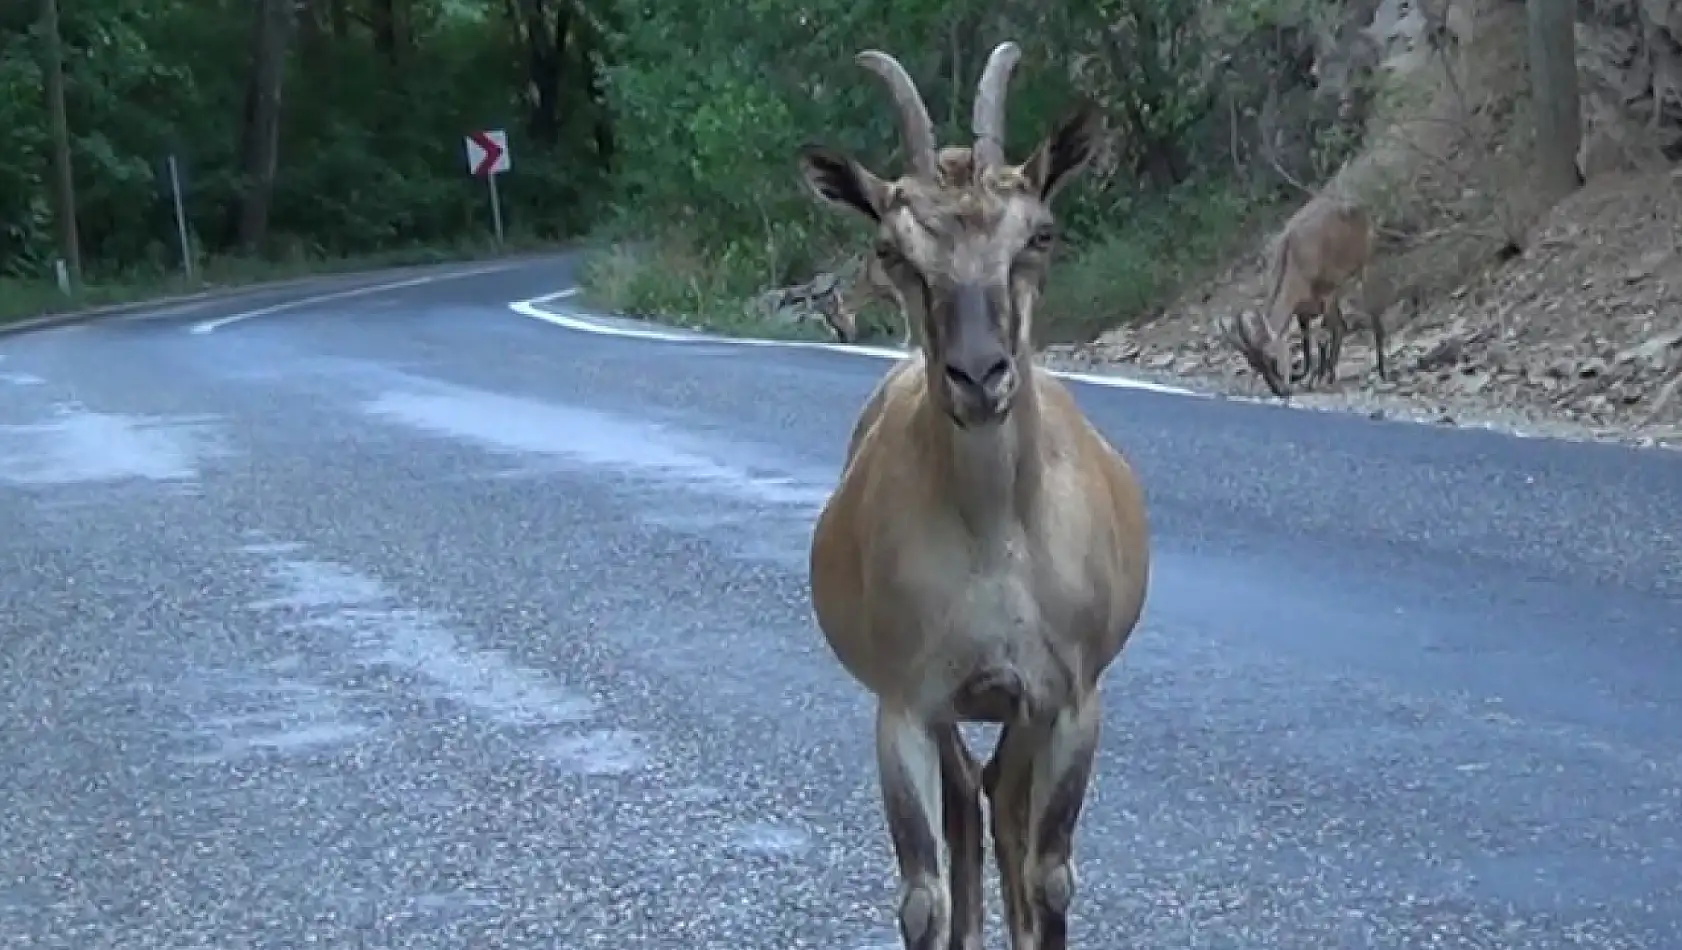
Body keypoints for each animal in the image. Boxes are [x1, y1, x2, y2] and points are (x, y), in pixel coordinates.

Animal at [797, 40, 1143, 948]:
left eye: (1040, 235)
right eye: (893, 249)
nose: (980, 376)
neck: (995, 539)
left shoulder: (1068, 696)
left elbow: (1051, 874)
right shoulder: (907, 701)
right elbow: (922, 892)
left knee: (1001, 801)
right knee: (967, 803)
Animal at [1224, 196, 1379, 396]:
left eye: (1272, 358)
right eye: (1254, 364)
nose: (1281, 391)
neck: (1294, 259)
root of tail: (1358, 208)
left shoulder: (1327, 294)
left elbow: (1321, 337)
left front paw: (1315, 379)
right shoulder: (1302, 310)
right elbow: (1306, 344)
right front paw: (1305, 376)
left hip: (1361, 266)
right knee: (1340, 327)